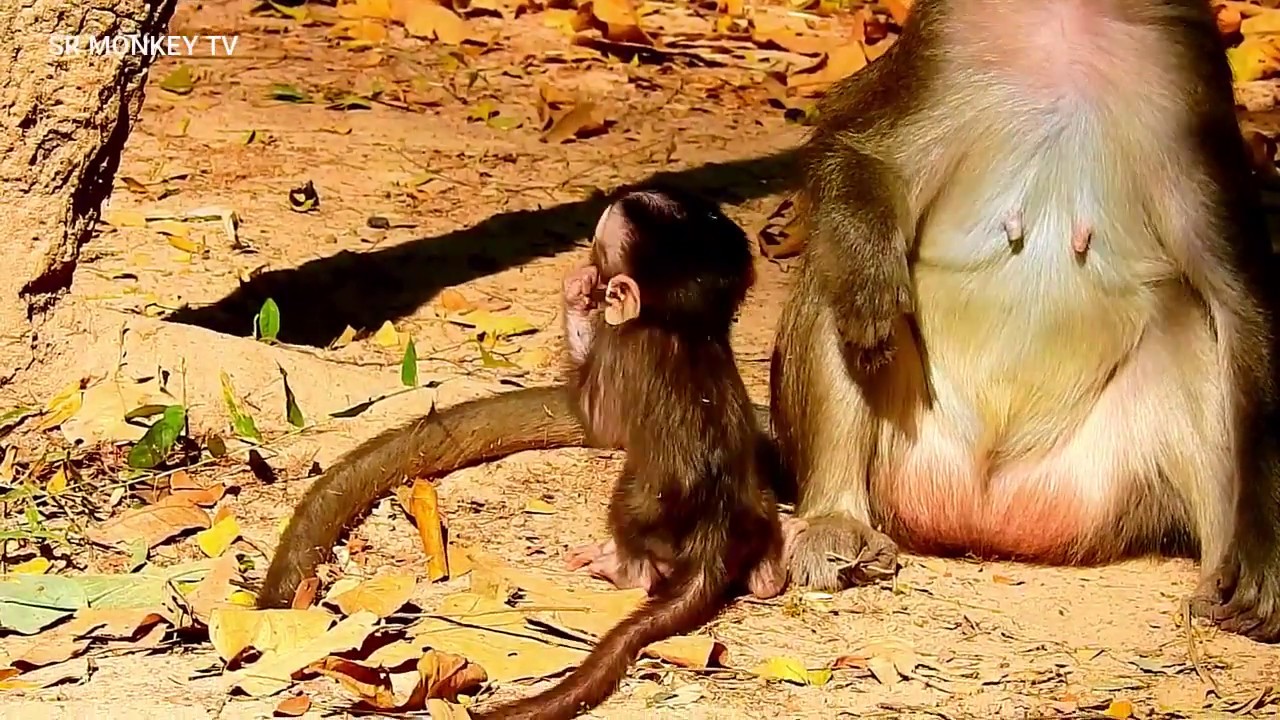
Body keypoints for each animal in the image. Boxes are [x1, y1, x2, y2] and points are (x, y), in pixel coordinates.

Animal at [768, 0, 1280, 641]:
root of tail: (985, 519)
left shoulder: (1187, 76)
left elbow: (1236, 293)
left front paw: (1263, 557)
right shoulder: (945, 37)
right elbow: (858, 150)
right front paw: (868, 265)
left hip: (1104, 483)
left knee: (1188, 318)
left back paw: (1219, 572)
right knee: (830, 271)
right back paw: (835, 518)